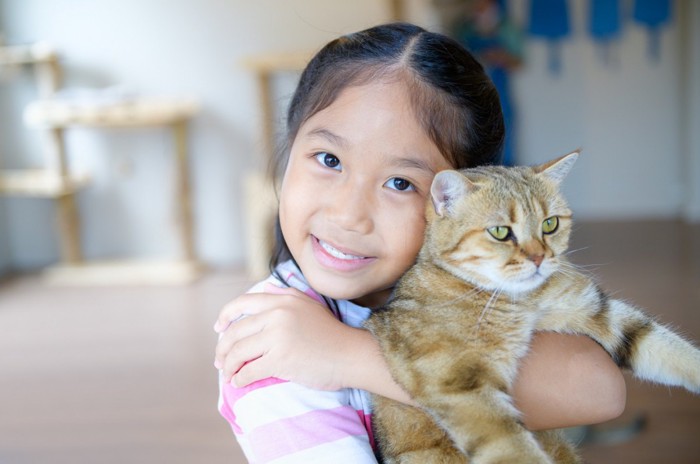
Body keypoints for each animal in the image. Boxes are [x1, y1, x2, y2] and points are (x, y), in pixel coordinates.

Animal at [366, 150, 700, 462]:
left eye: (550, 224)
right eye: (500, 232)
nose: (539, 258)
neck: (521, 301)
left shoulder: (597, 310)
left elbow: (669, 349)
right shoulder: (460, 381)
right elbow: (508, 445)